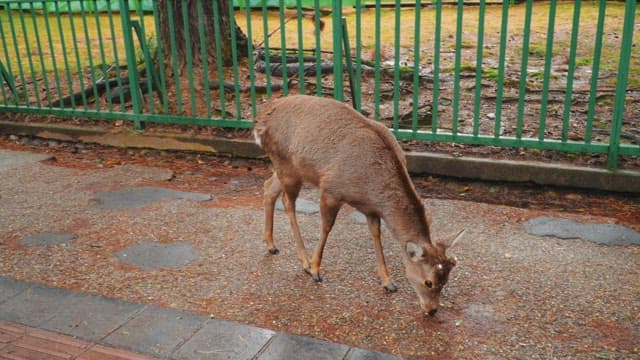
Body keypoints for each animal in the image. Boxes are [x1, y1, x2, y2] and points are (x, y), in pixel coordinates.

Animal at [255, 95, 464, 316]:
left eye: (446, 280)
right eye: (429, 282)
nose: (432, 311)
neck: (371, 190)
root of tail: (259, 120)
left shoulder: (370, 209)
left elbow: (376, 234)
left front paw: (388, 282)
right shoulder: (330, 190)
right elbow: (326, 227)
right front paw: (315, 269)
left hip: (289, 169)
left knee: (268, 187)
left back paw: (271, 245)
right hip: (285, 163)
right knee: (287, 202)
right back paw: (304, 260)